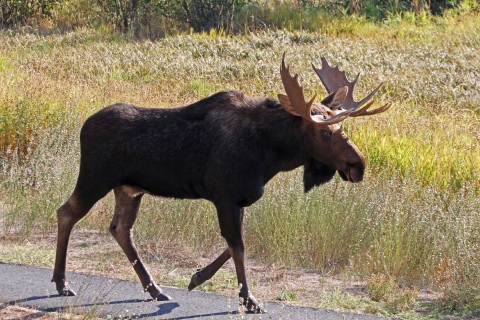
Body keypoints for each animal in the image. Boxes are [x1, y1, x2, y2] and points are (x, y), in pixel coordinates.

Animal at [52, 54, 390, 312]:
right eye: (326, 132)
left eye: (343, 126)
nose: (358, 165)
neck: (272, 155)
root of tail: (84, 125)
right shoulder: (226, 196)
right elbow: (238, 246)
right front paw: (249, 299)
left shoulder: (239, 200)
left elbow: (234, 244)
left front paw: (197, 277)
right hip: (95, 178)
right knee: (66, 212)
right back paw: (62, 283)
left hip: (130, 189)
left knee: (120, 228)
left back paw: (155, 288)